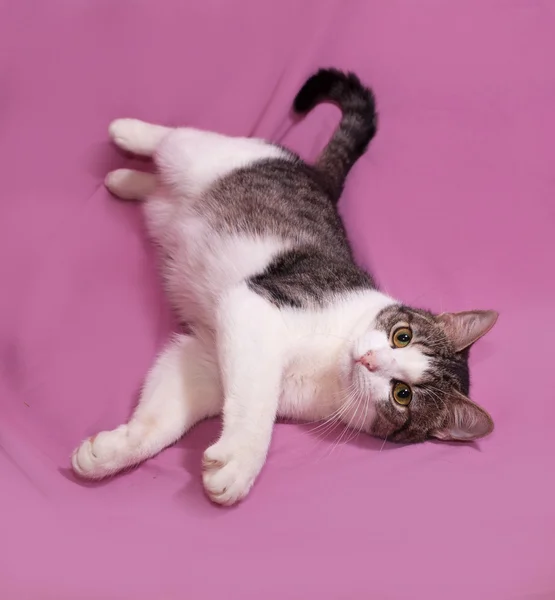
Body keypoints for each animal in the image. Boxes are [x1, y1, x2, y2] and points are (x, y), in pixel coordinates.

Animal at [70, 68, 500, 504]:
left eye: (402, 395)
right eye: (401, 335)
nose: (369, 360)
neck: (331, 364)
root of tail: (317, 177)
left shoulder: (208, 357)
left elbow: (166, 413)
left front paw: (113, 451)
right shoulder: (258, 306)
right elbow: (258, 400)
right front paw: (243, 460)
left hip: (168, 204)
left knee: (158, 191)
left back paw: (124, 179)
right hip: (207, 156)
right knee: (176, 138)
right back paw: (127, 131)